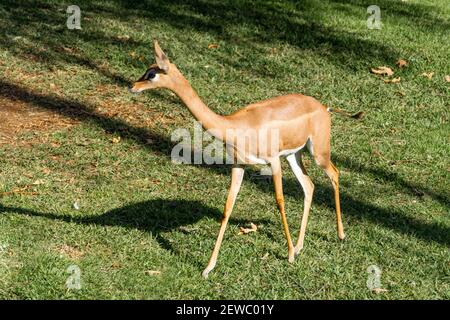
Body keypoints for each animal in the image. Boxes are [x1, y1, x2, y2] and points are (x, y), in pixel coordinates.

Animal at [130, 42, 362, 278]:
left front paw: (288, 255)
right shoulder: (238, 165)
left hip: (318, 152)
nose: (133, 86)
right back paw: (299, 246)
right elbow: (227, 208)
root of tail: (324, 107)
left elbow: (280, 201)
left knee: (334, 173)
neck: (236, 125)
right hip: (293, 155)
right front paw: (208, 267)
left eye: (152, 73)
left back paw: (338, 236)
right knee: (309, 185)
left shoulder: (272, 162)